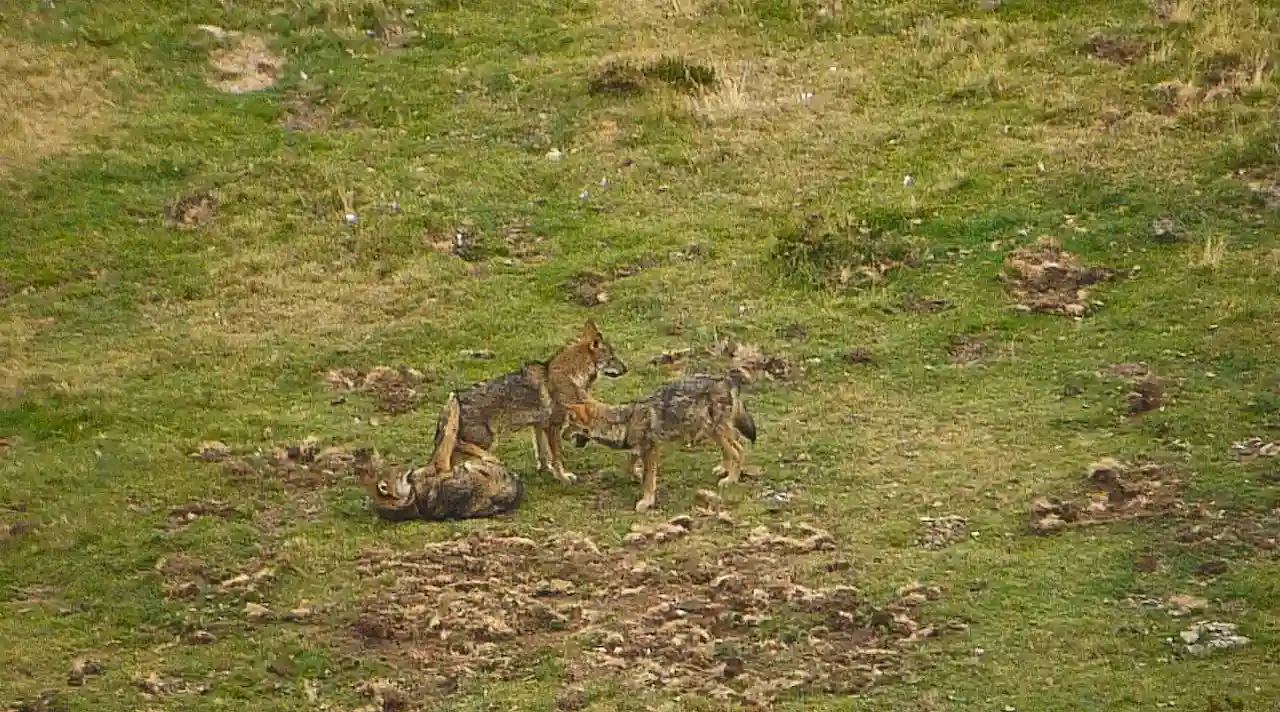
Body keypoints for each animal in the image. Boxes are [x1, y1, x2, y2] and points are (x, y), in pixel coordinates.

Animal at [358, 392, 524, 521]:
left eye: (395, 467)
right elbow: (448, 433)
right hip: (479, 464)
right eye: (398, 473)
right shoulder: (441, 462)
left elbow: (443, 437)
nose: (409, 467)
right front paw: (452, 406)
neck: (413, 496)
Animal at [450, 319, 628, 482]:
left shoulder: (539, 425)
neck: (571, 376)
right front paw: (563, 477)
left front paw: (546, 471)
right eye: (612, 358)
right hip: (484, 444)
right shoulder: (554, 426)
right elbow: (557, 456)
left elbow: (542, 454)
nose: (626, 369)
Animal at [562, 368, 758, 513]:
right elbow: (630, 467)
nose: (562, 436)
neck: (624, 421)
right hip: (711, 430)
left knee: (738, 450)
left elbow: (649, 481)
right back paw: (723, 468)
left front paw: (646, 501)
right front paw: (637, 474)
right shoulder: (638, 449)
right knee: (733, 446)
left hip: (715, 429)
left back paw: (730, 479)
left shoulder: (651, 449)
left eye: (570, 424)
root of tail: (727, 379)